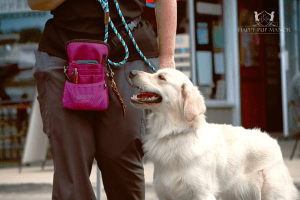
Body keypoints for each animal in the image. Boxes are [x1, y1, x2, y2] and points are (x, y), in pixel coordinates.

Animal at [128, 68, 298, 200]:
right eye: (156, 72)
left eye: (161, 77)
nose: (131, 72)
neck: (174, 133)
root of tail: (272, 140)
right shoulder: (165, 193)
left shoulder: (202, 193)